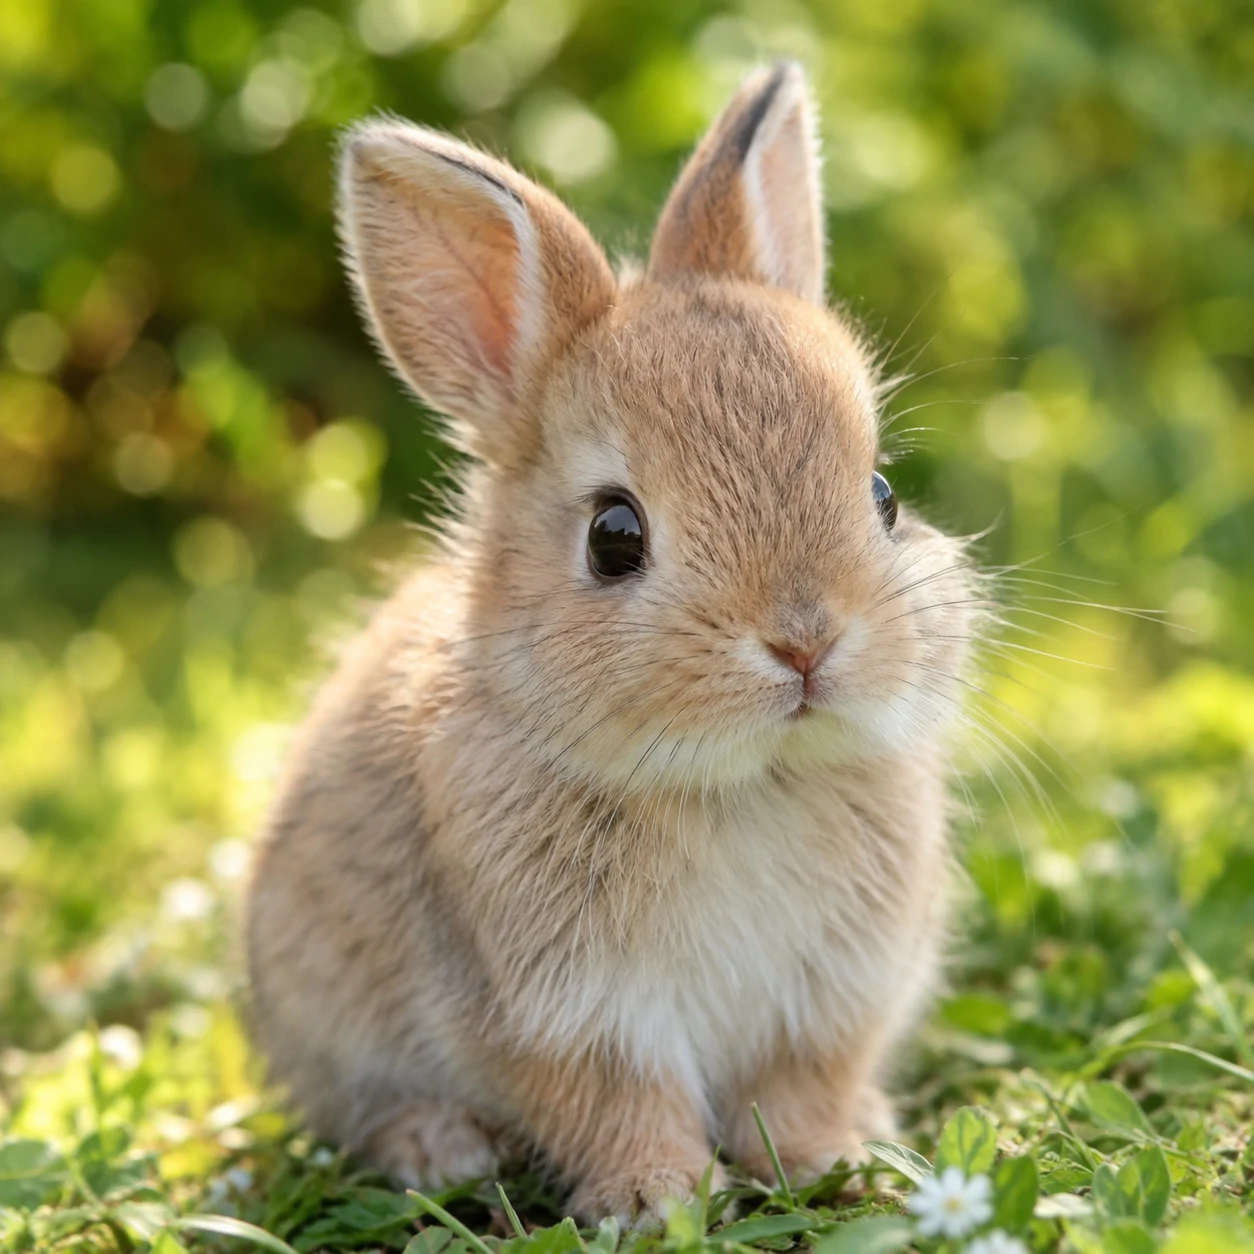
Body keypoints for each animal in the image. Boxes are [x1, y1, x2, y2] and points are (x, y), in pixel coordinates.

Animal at [246, 60, 977, 1226]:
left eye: (884, 496)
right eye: (613, 537)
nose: (806, 642)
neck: (741, 783)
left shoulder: (830, 999)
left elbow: (802, 1088)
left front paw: (831, 1159)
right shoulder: (564, 1010)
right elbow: (616, 1100)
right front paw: (654, 1202)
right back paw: (438, 1151)